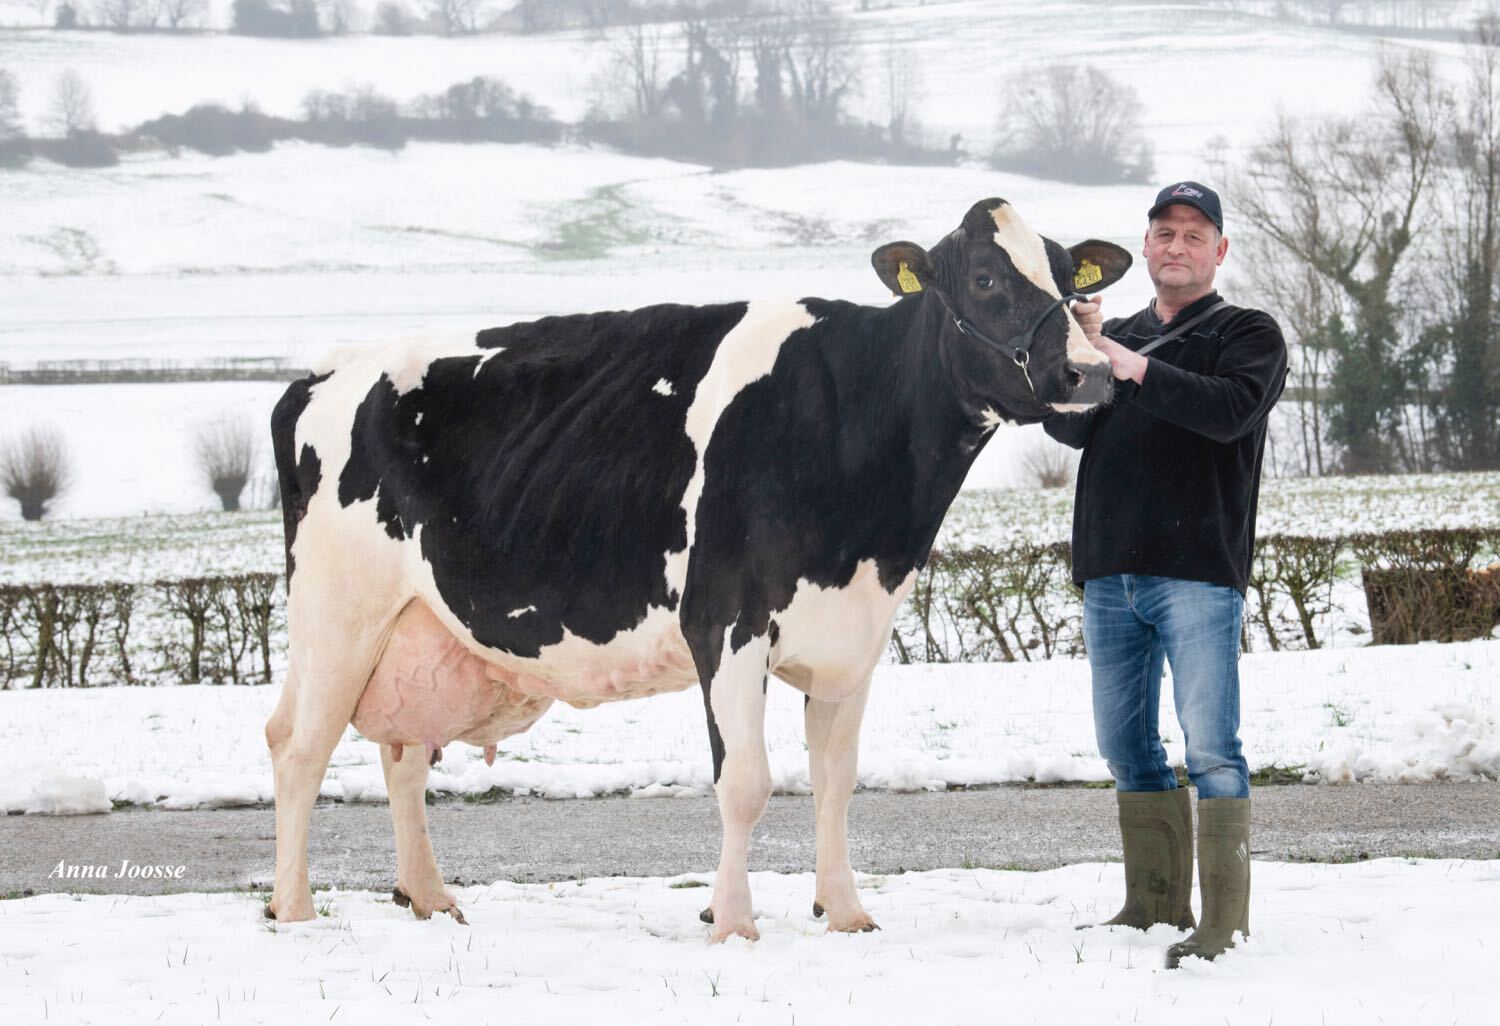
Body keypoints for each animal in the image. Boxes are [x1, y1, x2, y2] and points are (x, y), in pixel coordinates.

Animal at [264, 196, 1128, 942]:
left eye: (1069, 278)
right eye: (985, 279)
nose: (1091, 371)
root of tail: (318, 374)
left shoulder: (854, 635)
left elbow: (836, 780)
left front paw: (847, 913)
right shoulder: (726, 621)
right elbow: (745, 782)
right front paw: (734, 923)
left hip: (417, 629)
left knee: (402, 754)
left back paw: (430, 898)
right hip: (336, 614)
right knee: (299, 747)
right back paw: (294, 908)